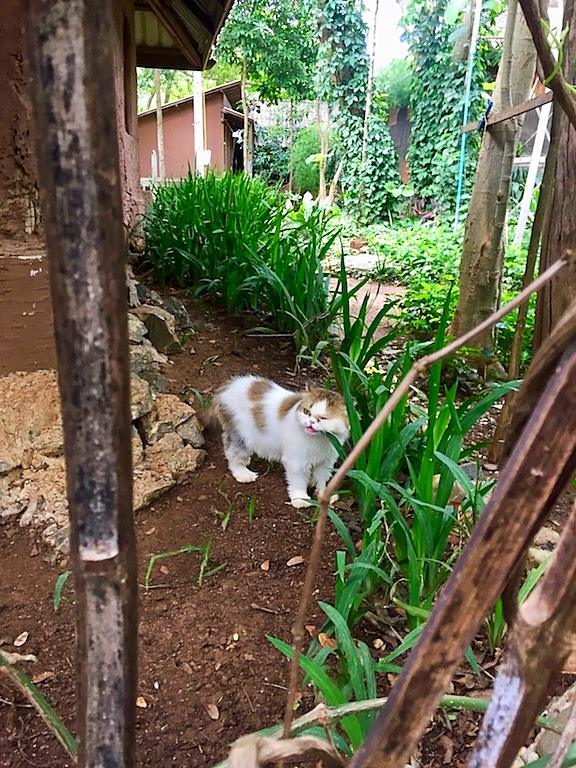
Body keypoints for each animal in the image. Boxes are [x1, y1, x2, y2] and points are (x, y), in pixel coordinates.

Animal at [210, 376, 348, 508]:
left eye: (324, 418)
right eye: (306, 412)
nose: (311, 422)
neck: (321, 440)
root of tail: (229, 386)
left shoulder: (327, 461)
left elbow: (322, 479)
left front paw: (324, 495)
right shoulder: (296, 461)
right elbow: (298, 481)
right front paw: (301, 499)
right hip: (239, 435)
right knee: (233, 454)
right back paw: (243, 474)